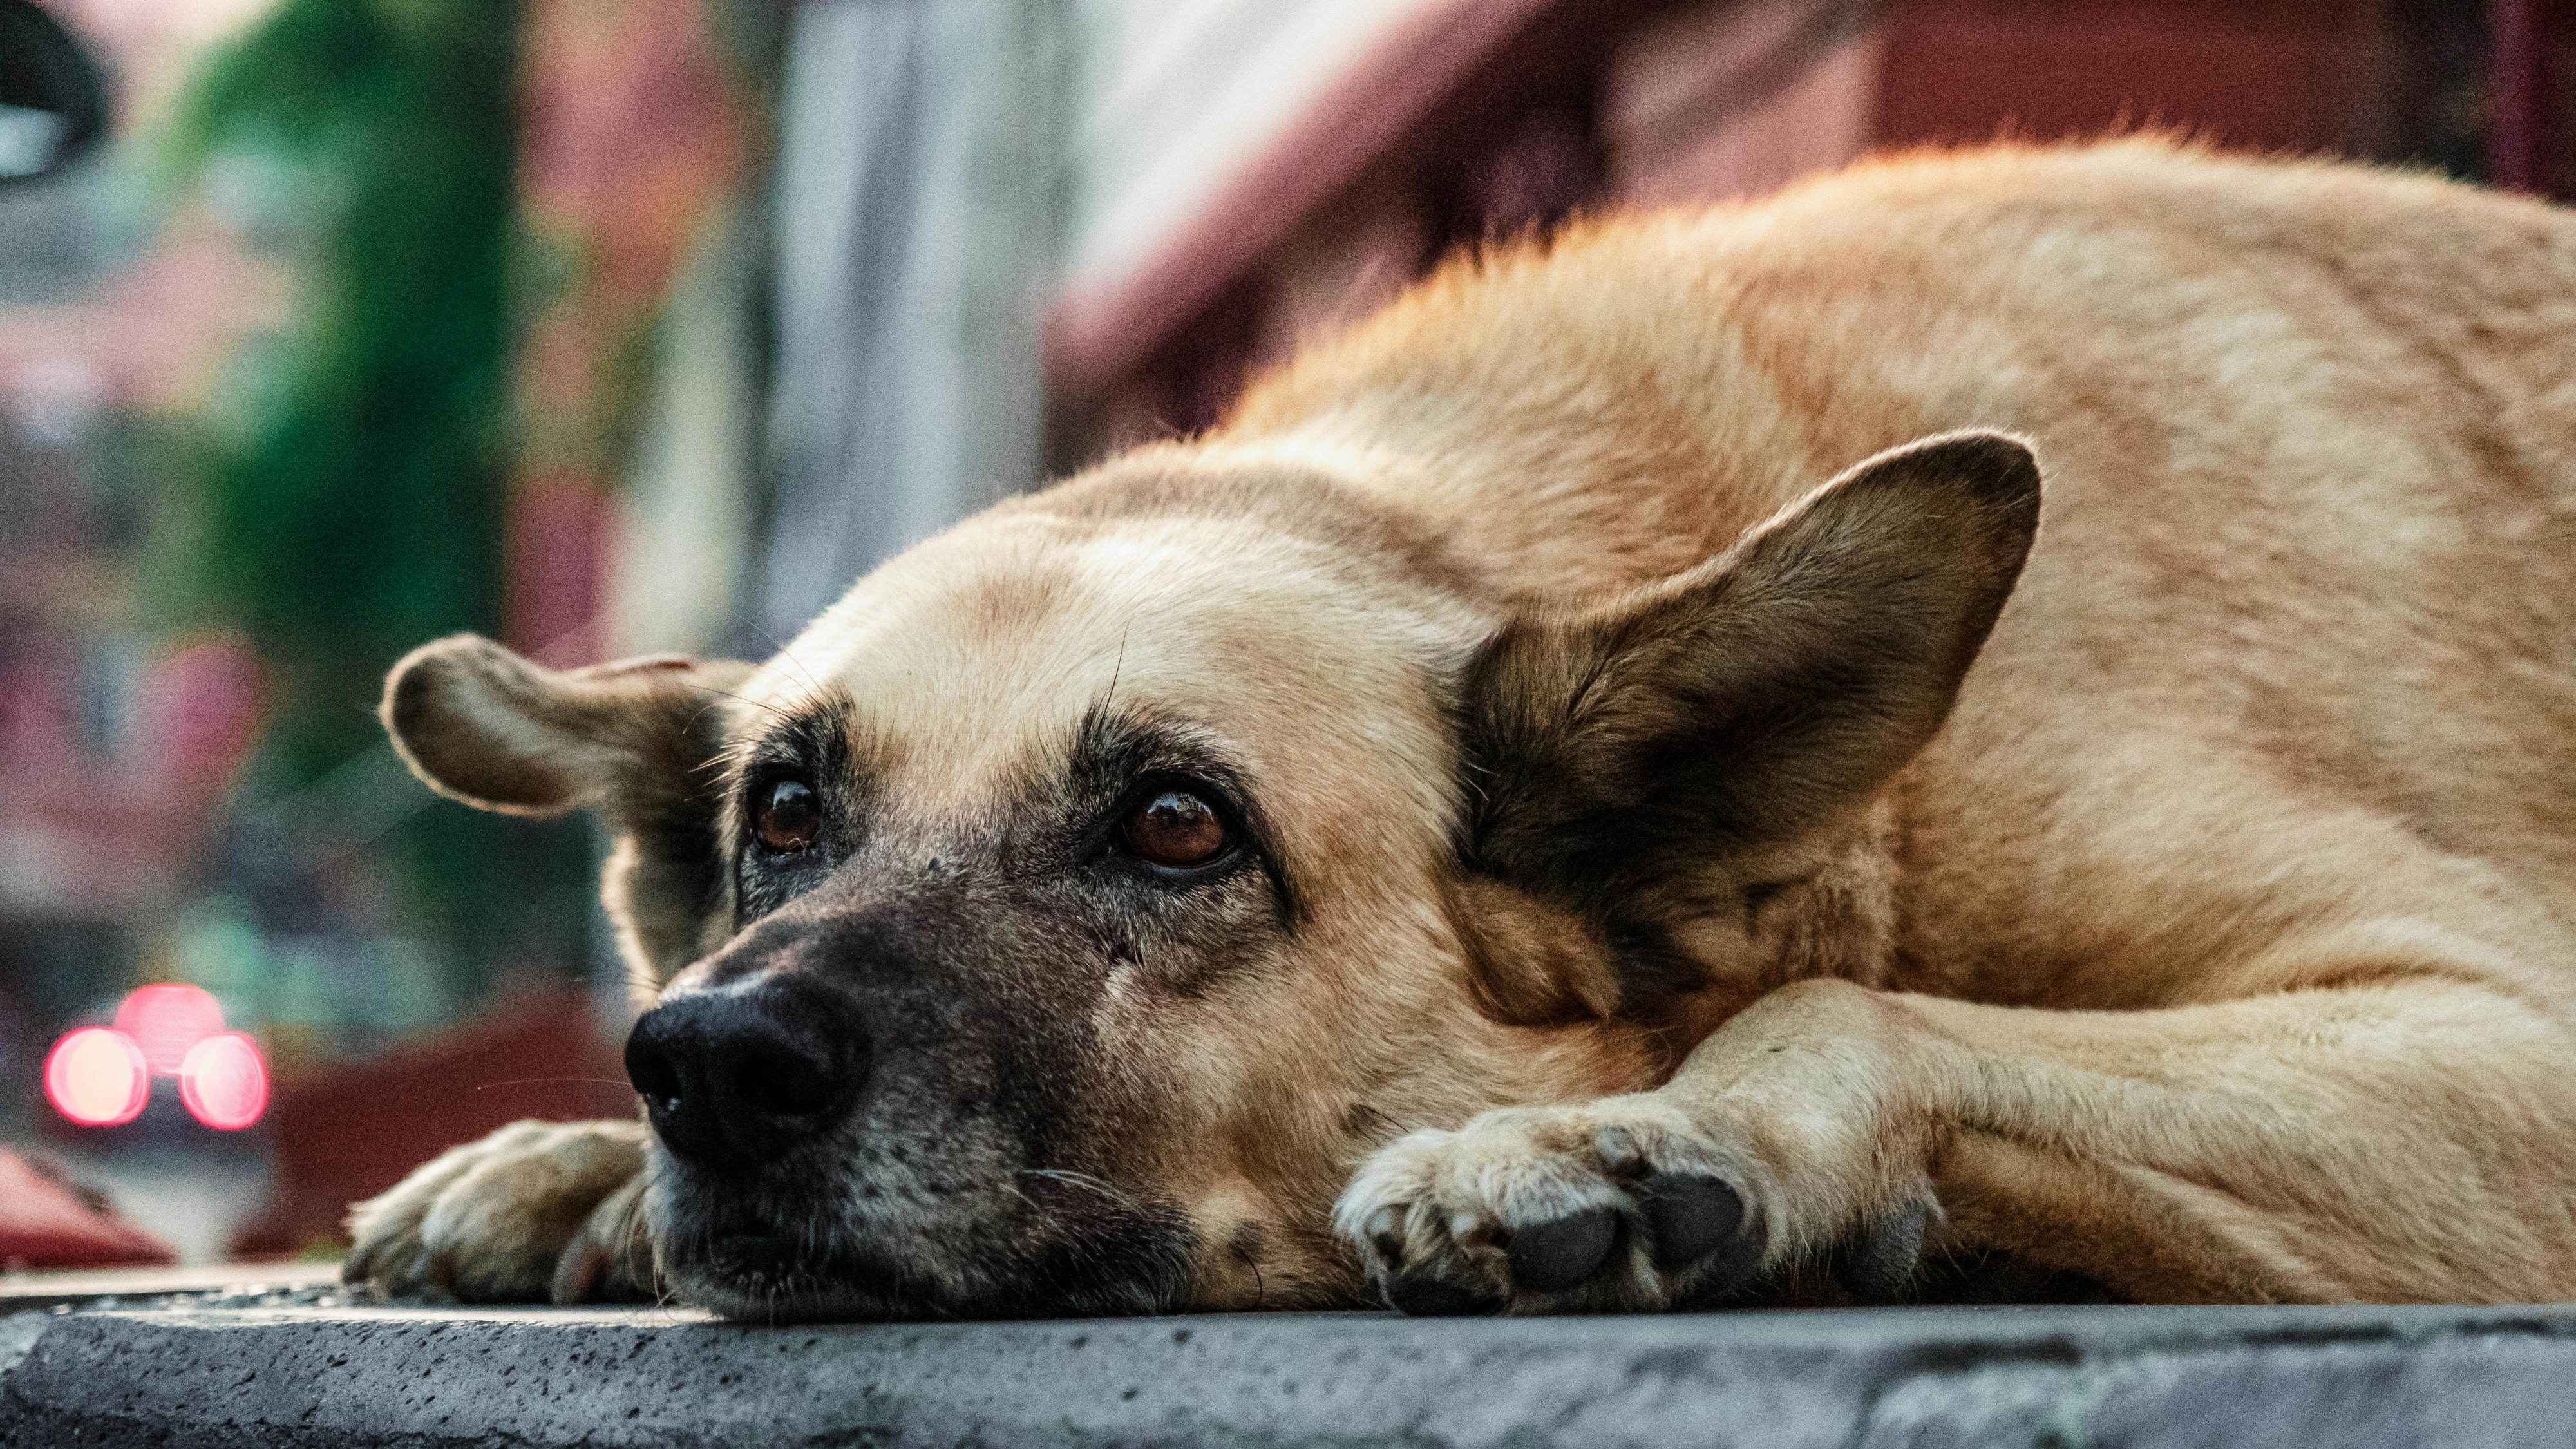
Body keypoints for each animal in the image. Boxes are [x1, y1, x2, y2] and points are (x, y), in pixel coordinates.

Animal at [337, 141, 2576, 1314]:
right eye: (785, 815)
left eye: (1178, 825)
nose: (706, 1065)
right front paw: (569, 1167)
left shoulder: (2506, 1031)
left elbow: (1852, 1008)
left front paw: (1641, 1131)